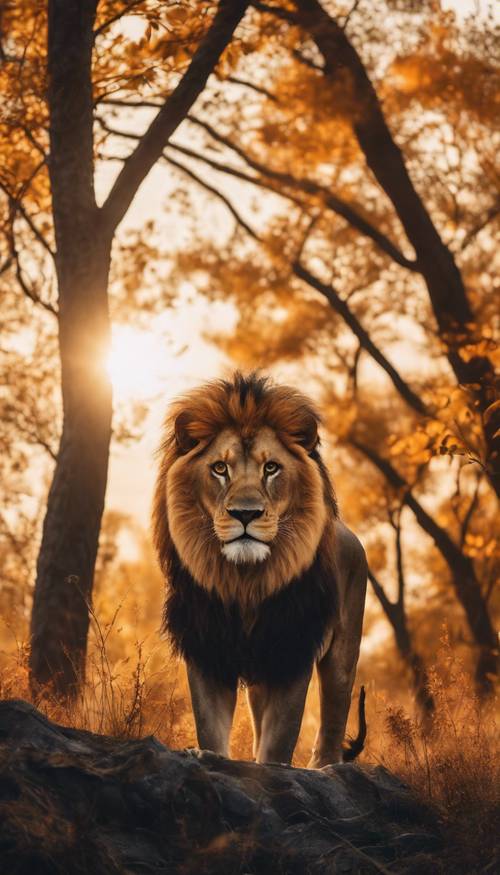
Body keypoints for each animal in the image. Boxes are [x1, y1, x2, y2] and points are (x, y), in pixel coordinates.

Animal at [152, 370, 368, 768]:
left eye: (271, 468)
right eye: (220, 468)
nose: (245, 513)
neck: (246, 583)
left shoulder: (291, 650)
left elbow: (280, 738)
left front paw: (275, 770)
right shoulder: (207, 649)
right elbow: (211, 727)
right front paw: (210, 759)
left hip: (343, 653)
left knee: (334, 714)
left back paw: (324, 767)